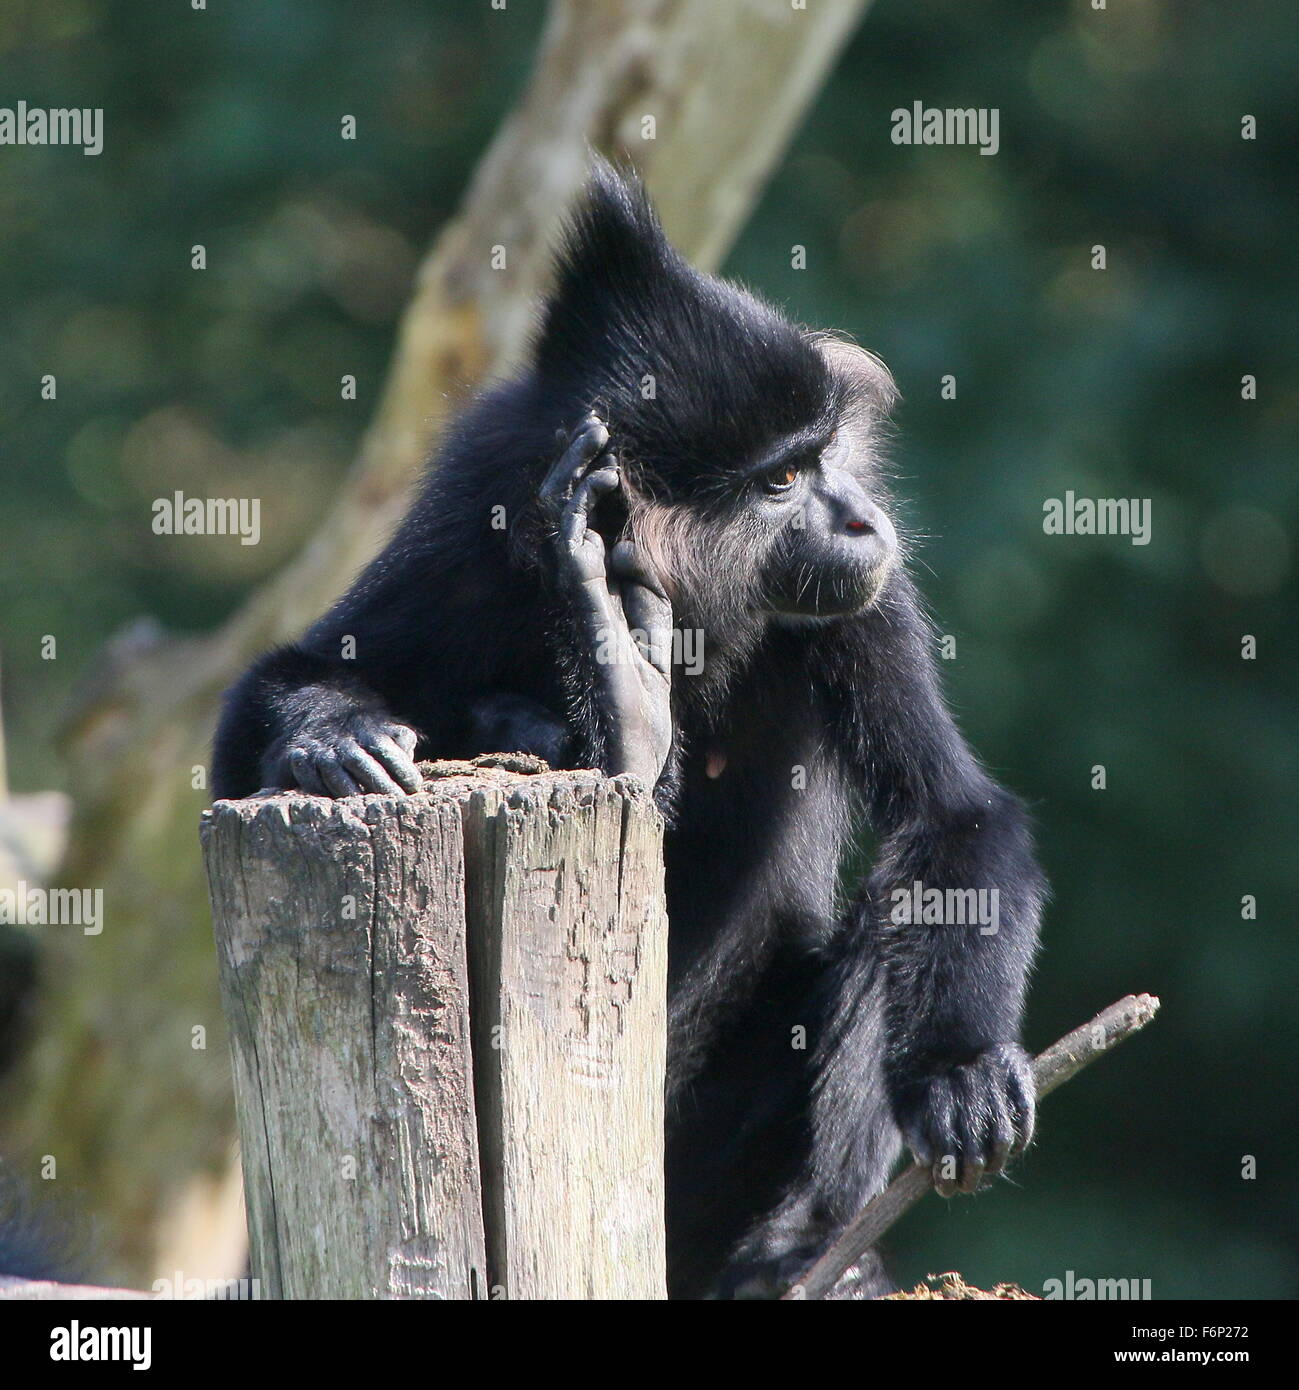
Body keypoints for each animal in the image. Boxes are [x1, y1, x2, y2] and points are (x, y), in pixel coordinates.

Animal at [213, 165, 1044, 1301]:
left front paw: (960, 1073)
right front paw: (330, 738)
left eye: (825, 458)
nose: (863, 518)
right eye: (782, 480)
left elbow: (953, 820)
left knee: (885, 928)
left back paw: (794, 1251)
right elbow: (261, 703)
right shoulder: (478, 510)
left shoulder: (861, 600)